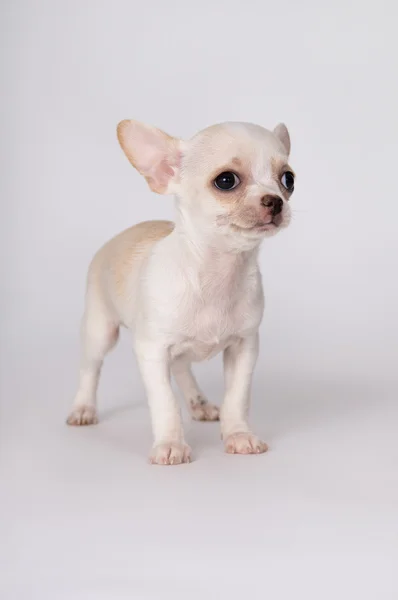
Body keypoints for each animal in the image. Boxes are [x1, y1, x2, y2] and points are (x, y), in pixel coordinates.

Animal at [66, 118, 296, 464]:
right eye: (226, 181)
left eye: (288, 180)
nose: (276, 201)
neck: (218, 273)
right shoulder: (152, 351)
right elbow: (165, 402)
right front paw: (170, 444)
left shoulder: (244, 348)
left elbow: (237, 397)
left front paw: (238, 435)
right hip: (100, 330)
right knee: (89, 369)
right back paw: (83, 407)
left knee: (183, 368)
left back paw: (198, 403)